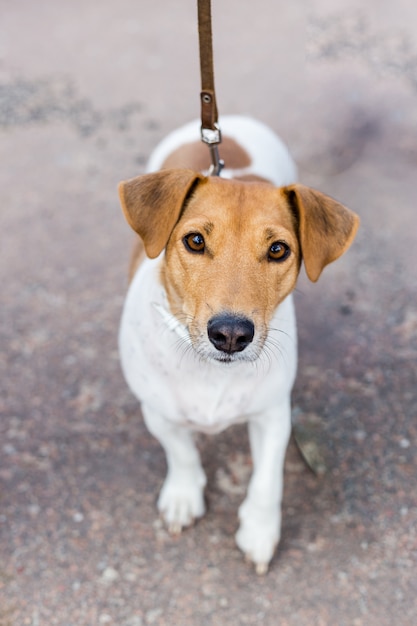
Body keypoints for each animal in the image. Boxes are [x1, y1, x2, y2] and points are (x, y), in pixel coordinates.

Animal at [117, 114, 358, 572]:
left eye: (278, 250)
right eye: (195, 240)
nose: (231, 334)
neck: (209, 371)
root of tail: (230, 121)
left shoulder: (273, 414)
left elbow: (267, 480)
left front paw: (259, 532)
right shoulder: (157, 412)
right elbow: (180, 451)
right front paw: (183, 495)